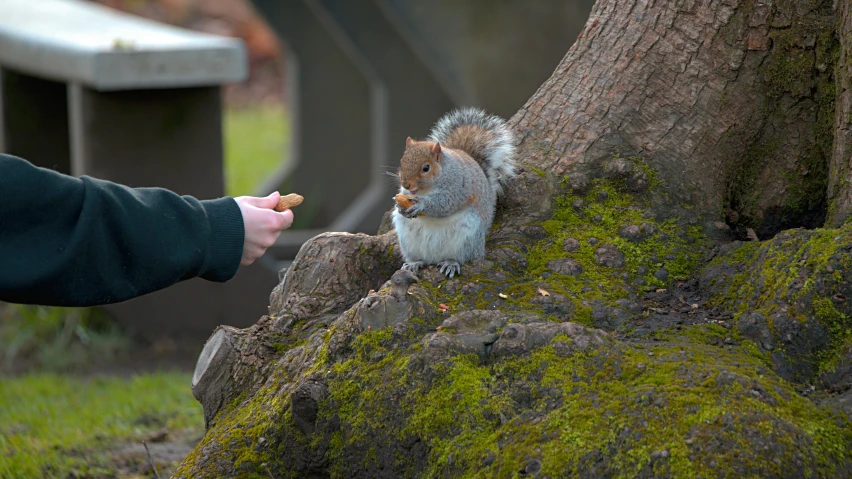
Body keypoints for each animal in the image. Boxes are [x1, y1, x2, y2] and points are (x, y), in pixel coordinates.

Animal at [390, 105, 516, 278]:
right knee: (420, 258)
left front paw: (421, 205)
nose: (406, 184)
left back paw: (451, 263)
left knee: (463, 257)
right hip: (407, 239)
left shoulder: (458, 187)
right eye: (402, 162)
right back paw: (414, 263)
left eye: (426, 168)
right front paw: (400, 207)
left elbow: (445, 203)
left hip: (467, 237)